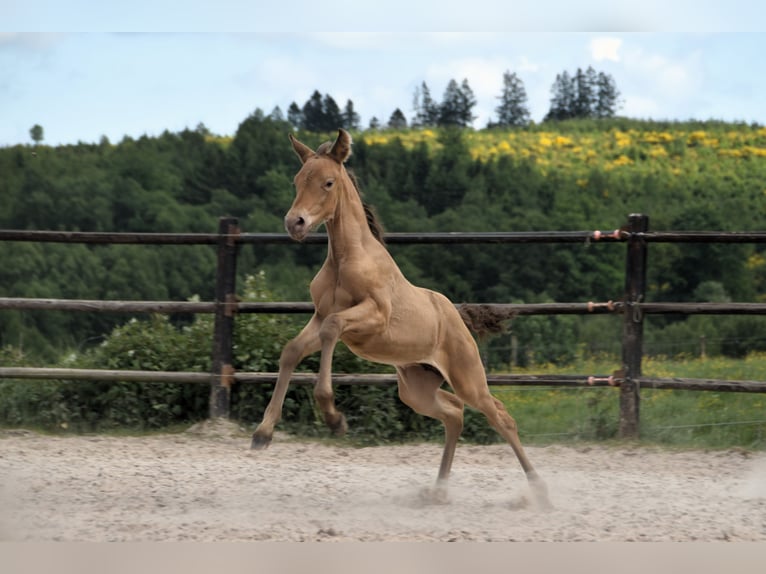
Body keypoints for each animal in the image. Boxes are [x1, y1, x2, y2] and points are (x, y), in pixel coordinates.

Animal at [251, 128, 551, 508]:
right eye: (296, 180)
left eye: (328, 183)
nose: (295, 223)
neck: (347, 259)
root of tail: (457, 317)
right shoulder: (318, 317)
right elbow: (291, 350)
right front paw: (262, 433)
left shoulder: (373, 316)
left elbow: (333, 330)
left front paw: (333, 417)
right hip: (415, 388)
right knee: (454, 413)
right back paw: (437, 491)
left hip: (468, 378)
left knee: (500, 416)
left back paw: (539, 491)